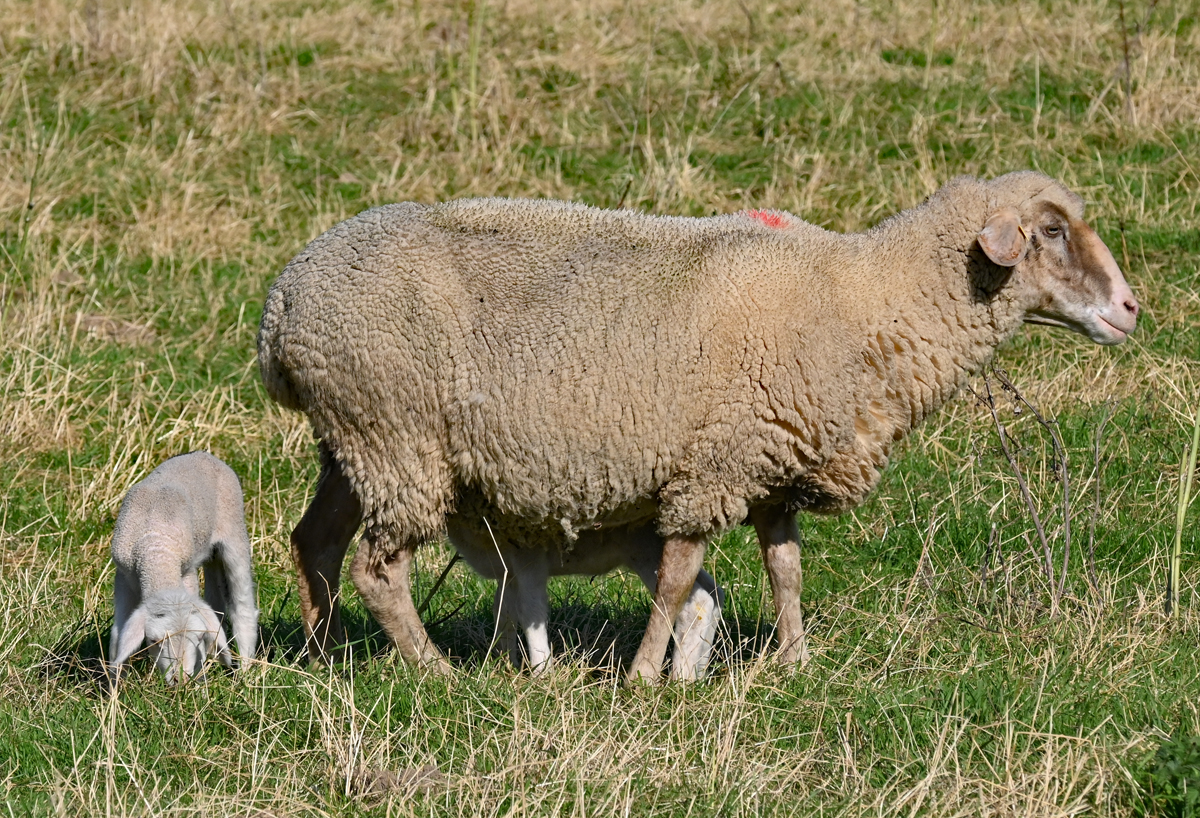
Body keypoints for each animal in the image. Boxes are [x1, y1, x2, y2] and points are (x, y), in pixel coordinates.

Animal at [107, 448, 258, 686]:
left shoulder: (186, 572)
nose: (181, 680)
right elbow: (117, 636)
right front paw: (114, 688)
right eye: (153, 641)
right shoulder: (124, 575)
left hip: (234, 532)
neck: (155, 548)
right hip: (209, 550)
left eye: (199, 636)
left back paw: (245, 669)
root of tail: (202, 454)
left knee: (242, 604)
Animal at [258, 171, 1137, 681]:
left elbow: (786, 569)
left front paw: (795, 662)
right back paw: (435, 675)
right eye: (1051, 232)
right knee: (378, 568)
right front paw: (647, 677)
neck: (861, 297)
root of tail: (283, 303)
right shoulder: (714, 466)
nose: (1131, 309)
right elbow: (682, 578)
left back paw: (323, 655)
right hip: (396, 437)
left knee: (316, 542)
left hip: (353, 442)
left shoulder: (772, 469)